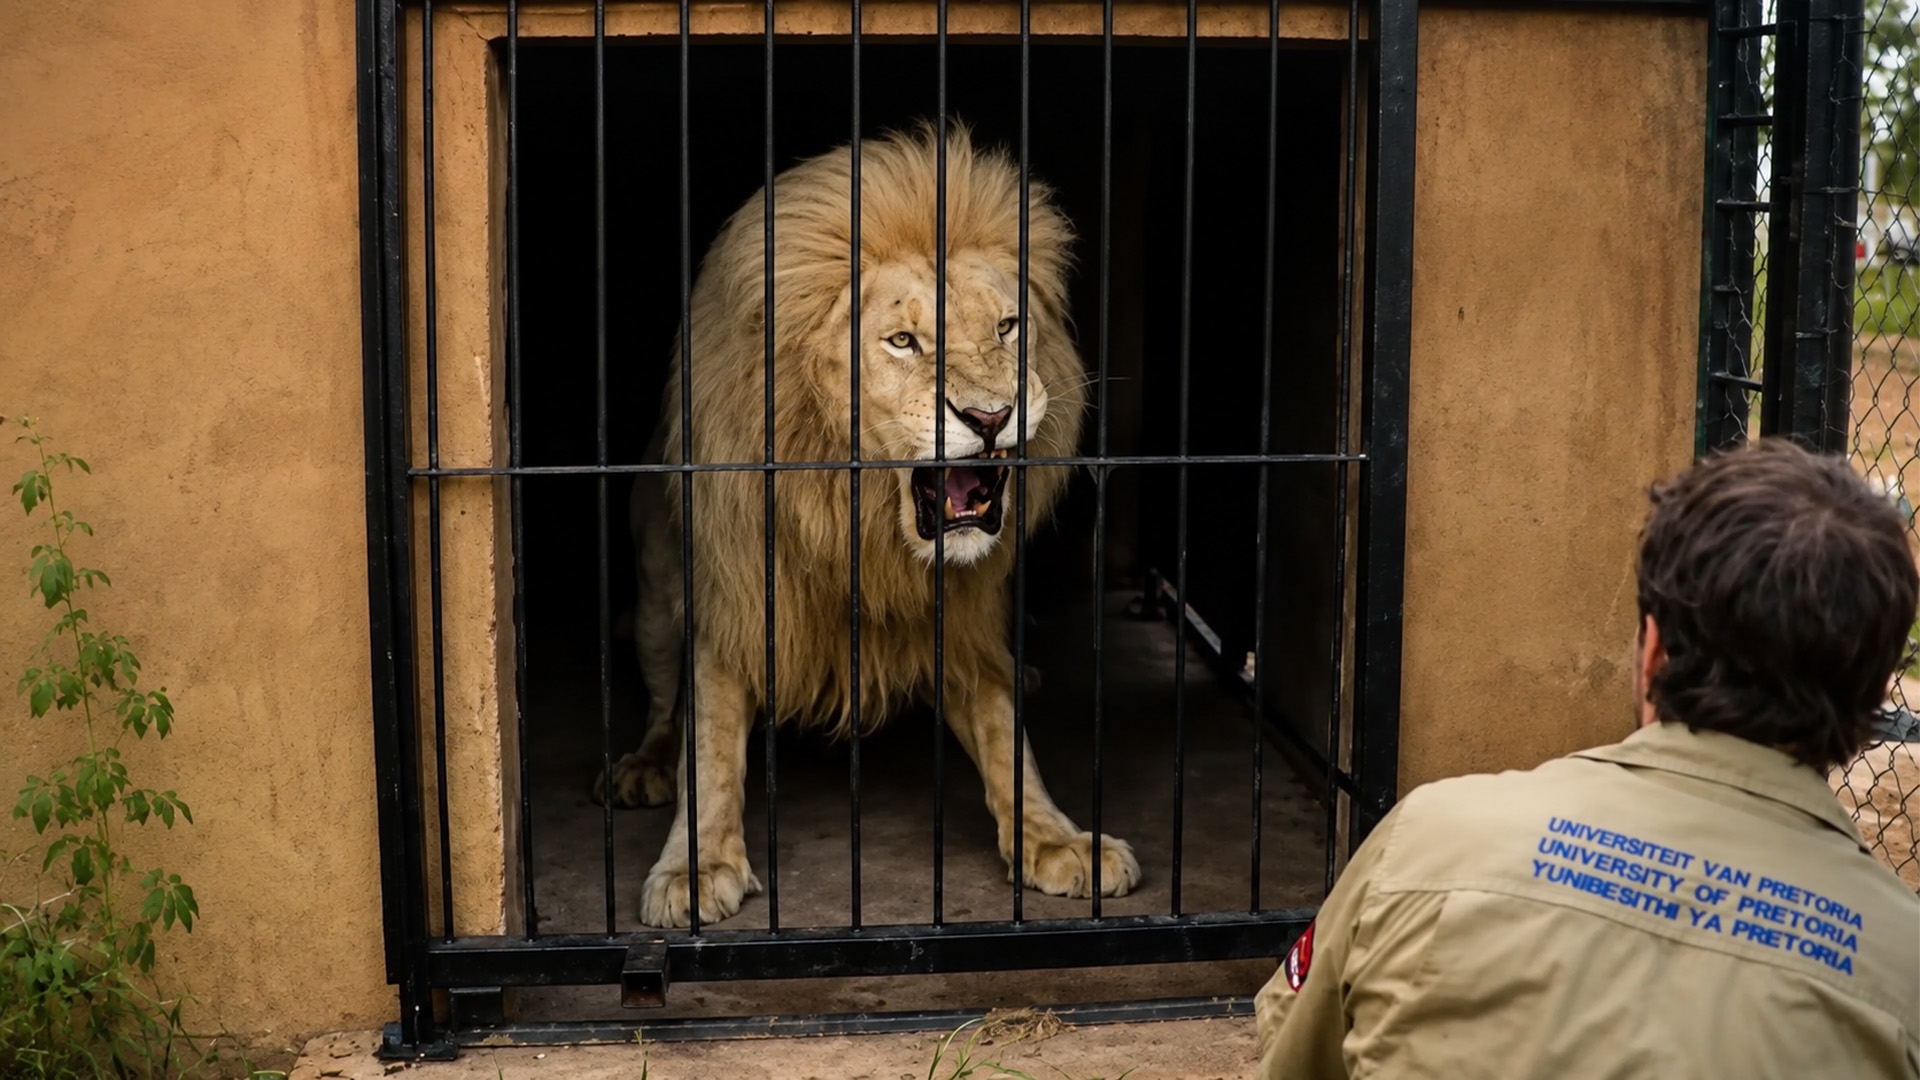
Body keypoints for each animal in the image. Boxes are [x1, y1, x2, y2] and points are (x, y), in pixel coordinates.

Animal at [593, 124, 1141, 929]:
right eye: (904, 342)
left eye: (1008, 327)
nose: (990, 417)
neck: (862, 524)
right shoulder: (738, 599)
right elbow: (711, 741)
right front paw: (697, 866)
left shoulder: (958, 614)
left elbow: (1005, 734)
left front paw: (1057, 838)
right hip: (658, 596)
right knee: (667, 701)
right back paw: (642, 766)